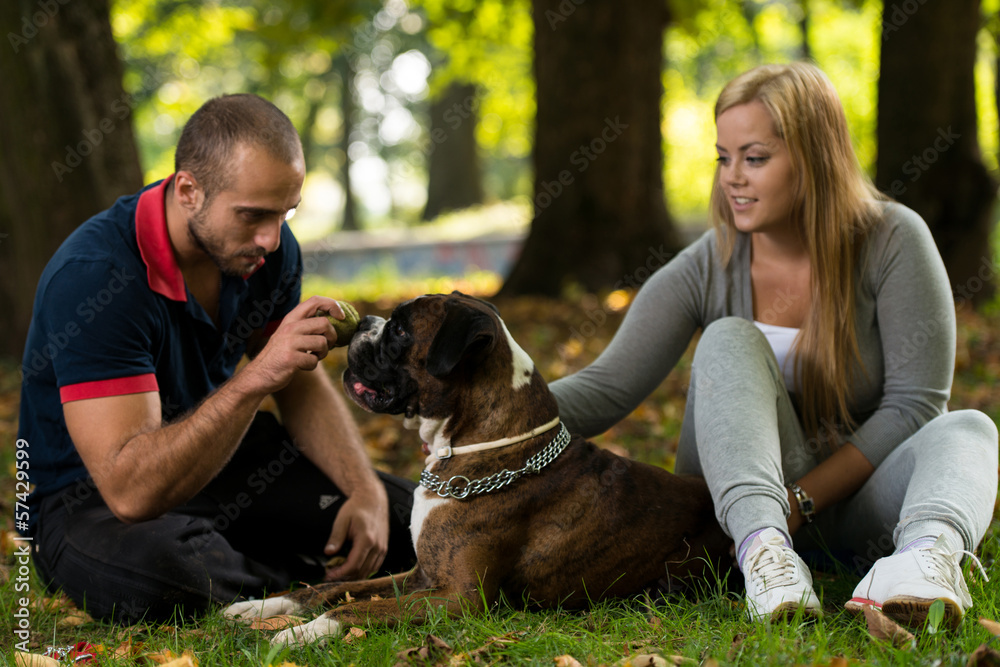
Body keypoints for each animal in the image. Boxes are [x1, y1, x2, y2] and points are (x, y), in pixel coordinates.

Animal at [223, 294, 732, 648]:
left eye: (400, 331)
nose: (365, 322)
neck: (465, 446)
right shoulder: (423, 574)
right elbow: (338, 587)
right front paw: (263, 607)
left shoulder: (460, 597)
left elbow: (358, 609)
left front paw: (299, 634)